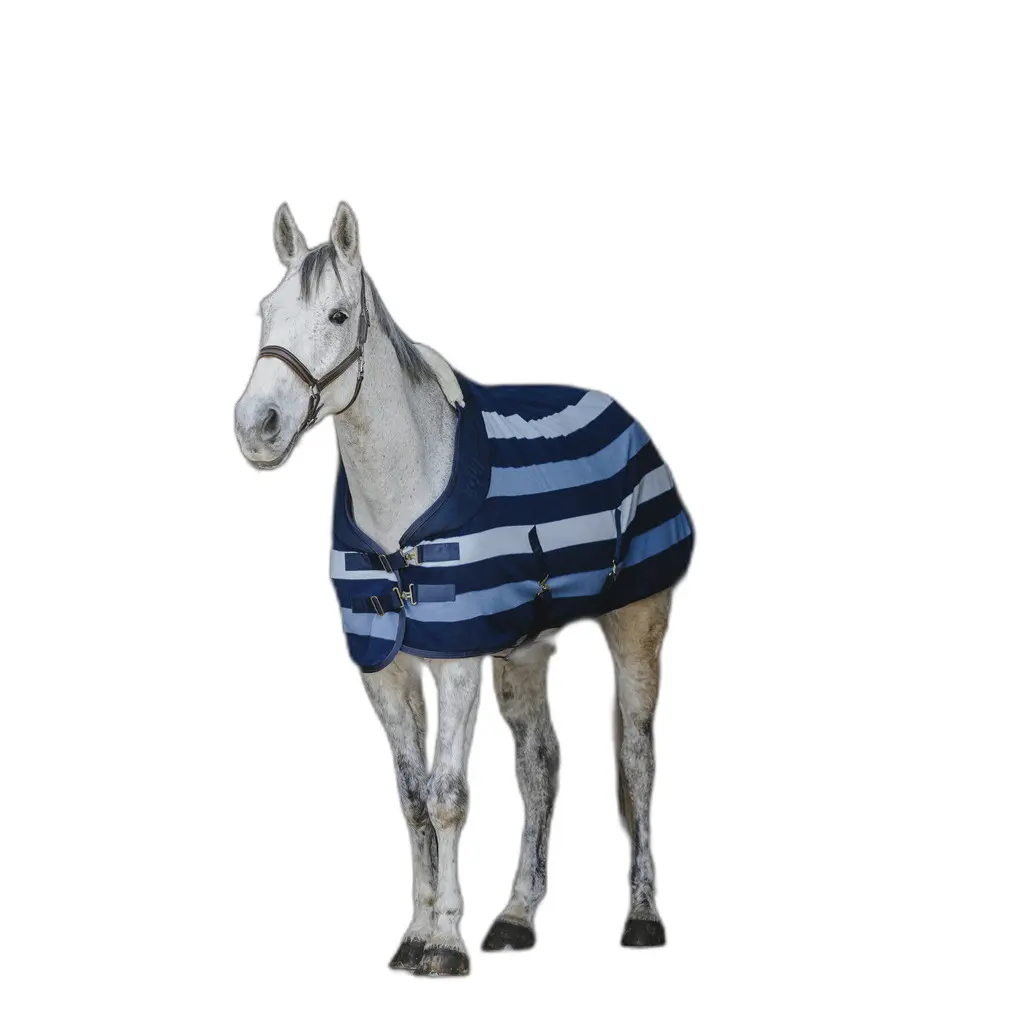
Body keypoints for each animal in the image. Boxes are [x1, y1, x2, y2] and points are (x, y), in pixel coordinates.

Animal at [234, 202, 694, 976]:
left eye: (336, 315)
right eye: (265, 311)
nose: (255, 427)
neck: (402, 498)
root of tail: (622, 411)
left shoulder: (456, 662)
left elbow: (448, 795)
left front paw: (445, 942)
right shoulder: (385, 670)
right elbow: (413, 797)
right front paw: (416, 933)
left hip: (638, 626)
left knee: (638, 762)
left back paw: (642, 917)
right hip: (523, 652)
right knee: (540, 765)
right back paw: (515, 916)